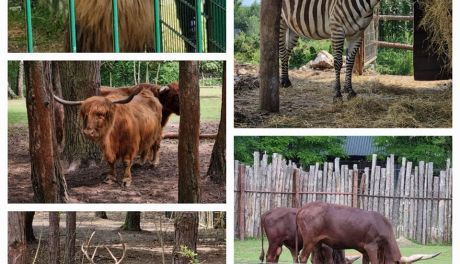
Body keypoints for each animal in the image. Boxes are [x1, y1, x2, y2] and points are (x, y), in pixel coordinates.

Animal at [296, 203, 440, 262]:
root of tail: (303, 208)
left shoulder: (365, 250)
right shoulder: (371, 247)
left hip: (318, 242)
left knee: (315, 259)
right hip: (309, 240)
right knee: (302, 258)